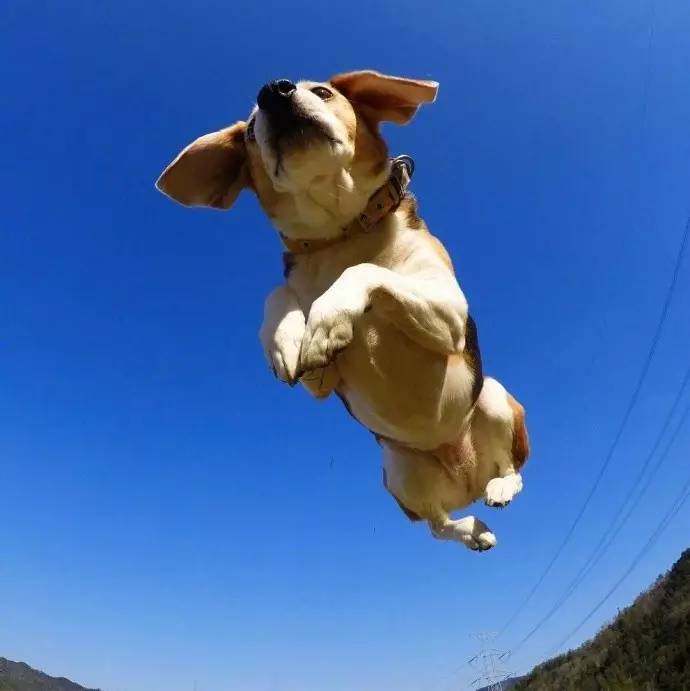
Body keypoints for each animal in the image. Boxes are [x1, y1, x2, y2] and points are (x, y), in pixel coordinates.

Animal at [156, 70, 528, 552]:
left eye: (322, 92)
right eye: (252, 127)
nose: (272, 91)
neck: (342, 233)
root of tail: (466, 478)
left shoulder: (449, 311)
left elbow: (365, 270)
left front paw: (326, 322)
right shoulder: (318, 382)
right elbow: (279, 296)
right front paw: (286, 338)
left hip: (494, 398)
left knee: (512, 470)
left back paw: (501, 488)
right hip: (399, 472)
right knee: (438, 524)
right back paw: (475, 530)